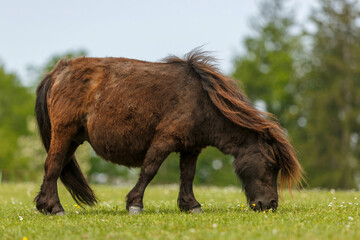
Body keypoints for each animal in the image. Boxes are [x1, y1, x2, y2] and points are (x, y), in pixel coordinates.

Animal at [34, 47, 304, 215]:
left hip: (73, 139)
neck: (202, 100)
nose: (270, 204)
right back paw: (55, 208)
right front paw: (135, 204)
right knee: (52, 165)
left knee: (57, 167)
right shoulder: (164, 140)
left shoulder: (192, 147)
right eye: (271, 165)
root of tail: (58, 72)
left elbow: (188, 175)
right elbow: (150, 170)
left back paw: (44, 205)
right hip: (64, 134)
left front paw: (191, 205)